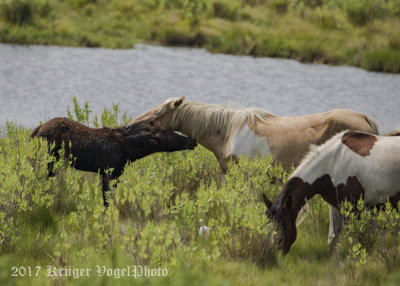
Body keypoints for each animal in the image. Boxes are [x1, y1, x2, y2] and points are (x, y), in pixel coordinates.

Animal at [29, 117, 195, 207]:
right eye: (171, 136)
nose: (192, 141)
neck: (131, 152)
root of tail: (37, 130)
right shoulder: (107, 172)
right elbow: (105, 199)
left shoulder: (116, 174)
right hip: (48, 161)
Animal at [262, 131, 400, 254]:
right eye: (269, 223)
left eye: (283, 226)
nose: (276, 251)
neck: (334, 162)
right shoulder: (336, 206)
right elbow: (333, 239)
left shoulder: (355, 209)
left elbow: (359, 239)